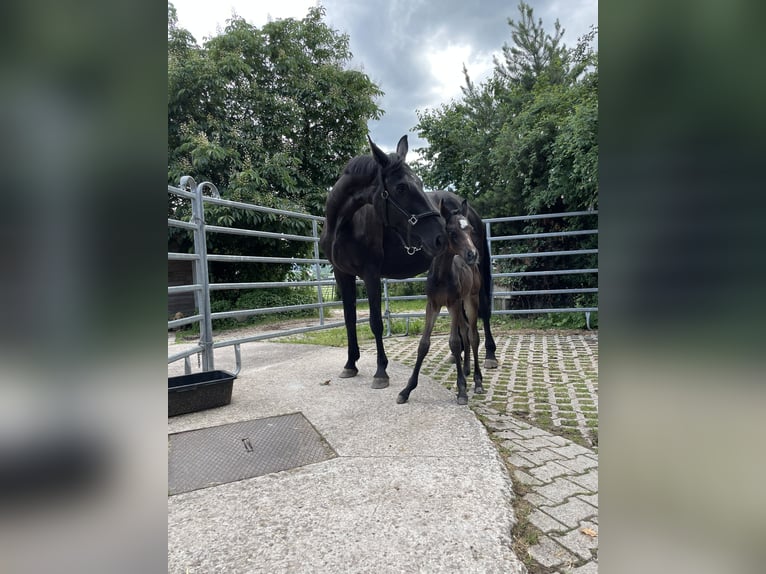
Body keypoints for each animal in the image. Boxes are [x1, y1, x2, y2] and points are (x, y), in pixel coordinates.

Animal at [318, 134, 498, 392]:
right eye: (401, 187)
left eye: (420, 183)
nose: (441, 236)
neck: (343, 225)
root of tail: (470, 210)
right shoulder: (342, 275)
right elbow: (349, 319)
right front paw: (350, 364)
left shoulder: (371, 274)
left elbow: (375, 322)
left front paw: (381, 371)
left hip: (478, 272)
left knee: (482, 309)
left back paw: (490, 355)